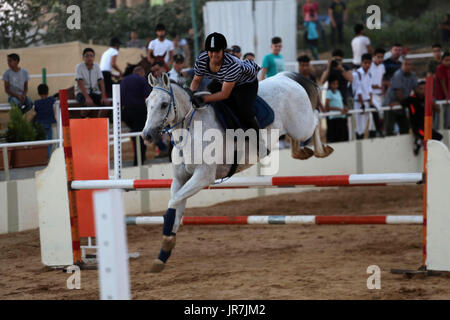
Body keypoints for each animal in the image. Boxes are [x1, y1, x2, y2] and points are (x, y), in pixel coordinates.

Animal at [142, 71, 332, 272]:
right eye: (147, 102)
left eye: (164, 104)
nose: (146, 135)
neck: (191, 129)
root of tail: (286, 77)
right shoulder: (181, 178)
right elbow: (176, 208)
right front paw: (163, 253)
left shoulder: (203, 177)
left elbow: (173, 202)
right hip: (294, 128)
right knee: (300, 137)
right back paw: (301, 152)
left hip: (301, 126)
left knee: (316, 119)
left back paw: (322, 150)